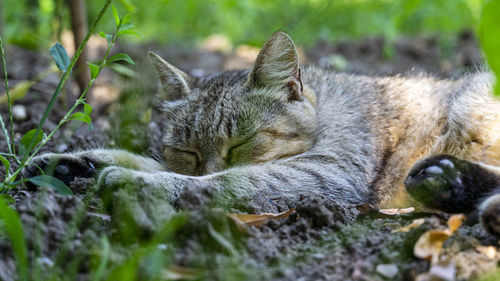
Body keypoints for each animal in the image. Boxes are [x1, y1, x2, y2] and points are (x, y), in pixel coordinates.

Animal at [23, 31, 500, 234]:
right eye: (187, 151)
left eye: (241, 144)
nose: (201, 165)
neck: (326, 106)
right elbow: (147, 160)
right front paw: (69, 163)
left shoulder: (326, 171)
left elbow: (231, 180)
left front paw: (138, 182)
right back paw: (445, 180)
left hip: (474, 103)